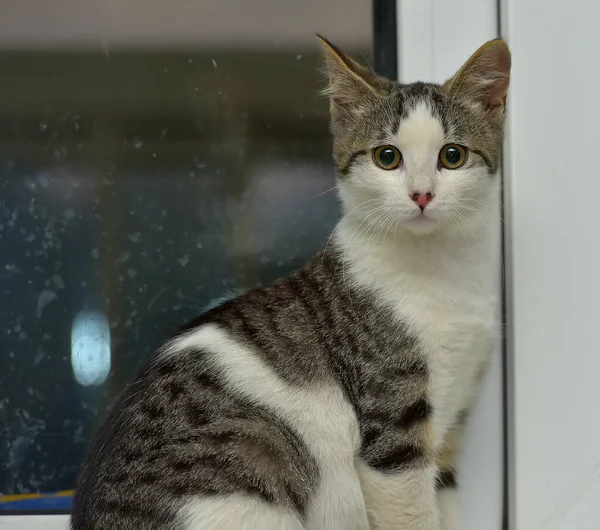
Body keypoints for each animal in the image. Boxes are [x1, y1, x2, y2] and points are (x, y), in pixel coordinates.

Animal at [70, 35, 510, 524]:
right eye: (387, 157)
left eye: (452, 156)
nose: (421, 194)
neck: (436, 269)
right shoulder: (393, 424)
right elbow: (410, 510)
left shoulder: (452, 417)